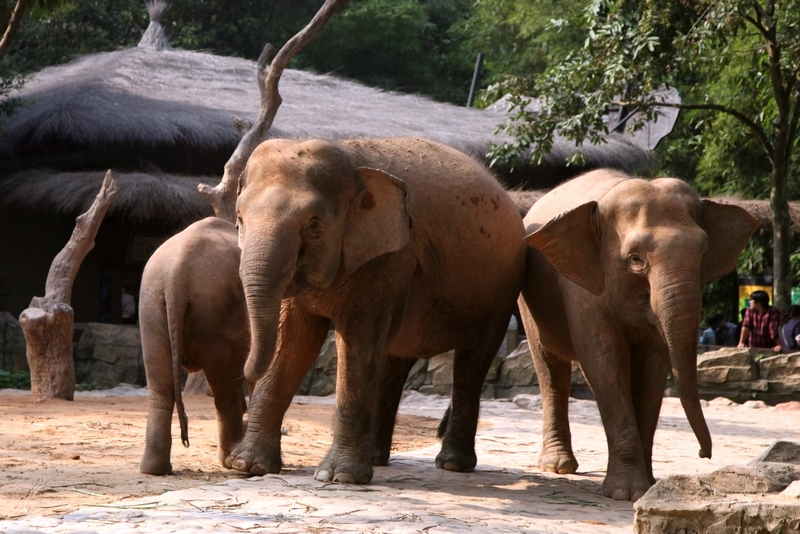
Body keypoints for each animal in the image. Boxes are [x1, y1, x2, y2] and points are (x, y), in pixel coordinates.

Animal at [138, 217, 251, 475]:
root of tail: (176, 277)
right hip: (218, 309)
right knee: (225, 388)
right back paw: (229, 460)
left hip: (151, 304)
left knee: (160, 386)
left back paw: (154, 469)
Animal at [228, 137, 527, 484]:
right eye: (239, 219)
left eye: (314, 226)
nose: (244, 371)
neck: (351, 158)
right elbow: (293, 342)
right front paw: (246, 466)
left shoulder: (390, 258)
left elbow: (356, 340)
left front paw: (338, 477)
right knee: (393, 361)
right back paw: (376, 458)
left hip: (503, 289)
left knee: (472, 362)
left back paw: (452, 464)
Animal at [518, 169, 758, 501]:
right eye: (635, 259)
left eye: (703, 253)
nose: (703, 454)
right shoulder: (582, 289)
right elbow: (604, 362)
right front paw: (625, 493)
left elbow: (653, 368)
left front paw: (648, 487)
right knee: (551, 369)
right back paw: (559, 467)